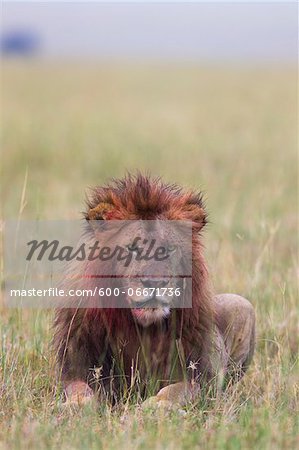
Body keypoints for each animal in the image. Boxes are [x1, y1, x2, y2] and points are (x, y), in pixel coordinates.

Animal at [53, 173, 255, 408]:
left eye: (169, 249)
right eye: (132, 248)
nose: (155, 283)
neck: (144, 328)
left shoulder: (203, 377)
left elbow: (180, 389)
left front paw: (158, 405)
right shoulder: (78, 365)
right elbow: (79, 388)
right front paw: (77, 405)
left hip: (241, 304)